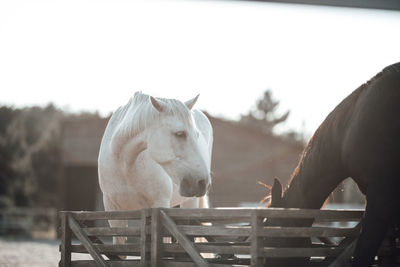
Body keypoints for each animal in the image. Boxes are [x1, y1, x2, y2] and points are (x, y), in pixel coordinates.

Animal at [99, 93, 214, 246]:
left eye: (197, 135)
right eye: (179, 133)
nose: (203, 182)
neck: (125, 165)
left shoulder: (159, 207)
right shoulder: (113, 212)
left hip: (189, 203)